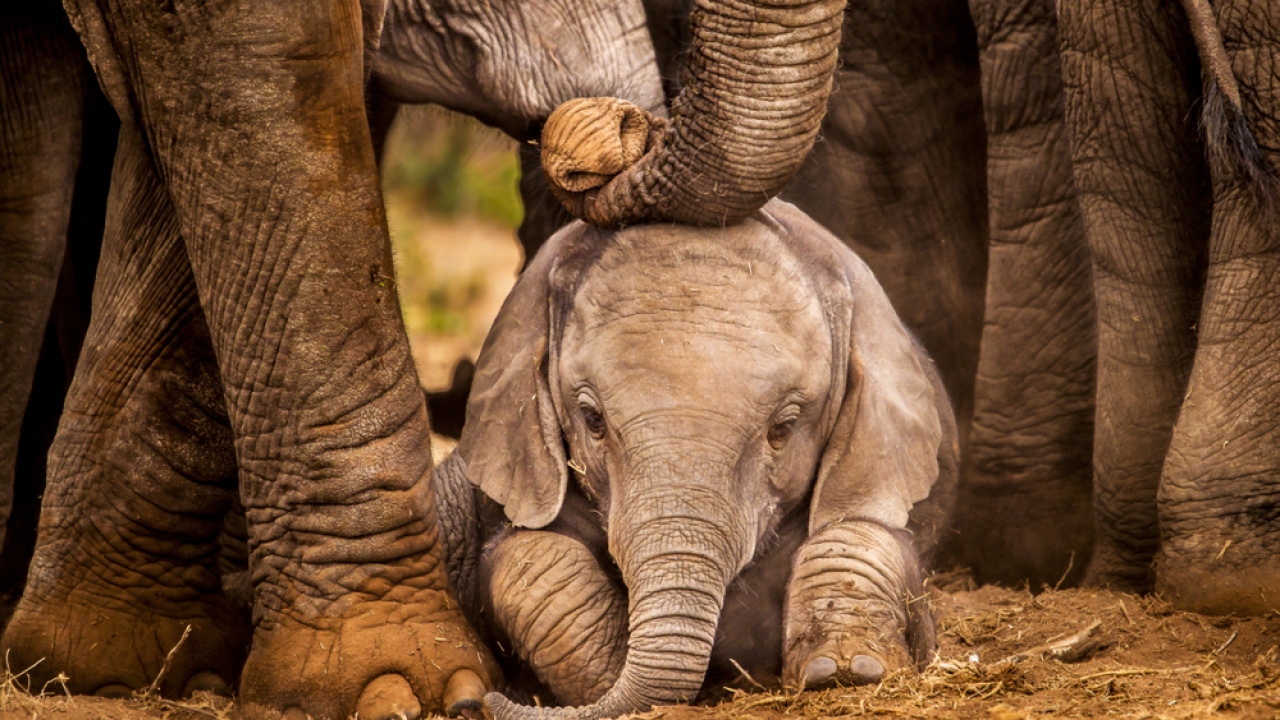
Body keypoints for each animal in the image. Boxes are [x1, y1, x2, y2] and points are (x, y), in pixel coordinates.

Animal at [432, 197, 957, 720]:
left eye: (783, 428)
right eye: (592, 419)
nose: (478, 704)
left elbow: (859, 532)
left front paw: (845, 671)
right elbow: (533, 556)